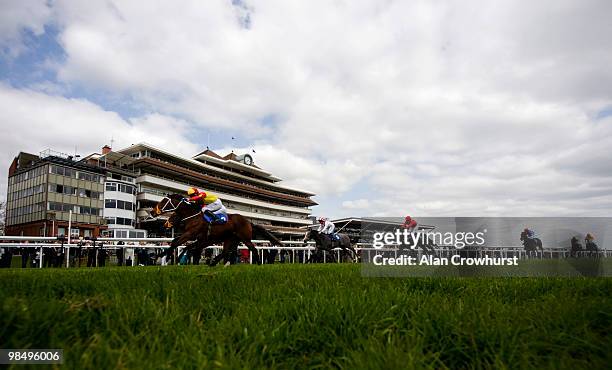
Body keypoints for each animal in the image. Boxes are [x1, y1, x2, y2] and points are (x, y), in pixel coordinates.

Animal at [152, 194, 280, 266]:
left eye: (164, 202)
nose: (152, 212)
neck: (193, 215)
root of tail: (249, 221)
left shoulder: (191, 235)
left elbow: (177, 243)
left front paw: (164, 256)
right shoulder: (197, 238)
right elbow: (180, 243)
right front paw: (168, 256)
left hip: (245, 239)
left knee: (253, 249)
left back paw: (258, 264)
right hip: (232, 239)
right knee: (226, 252)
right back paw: (214, 262)